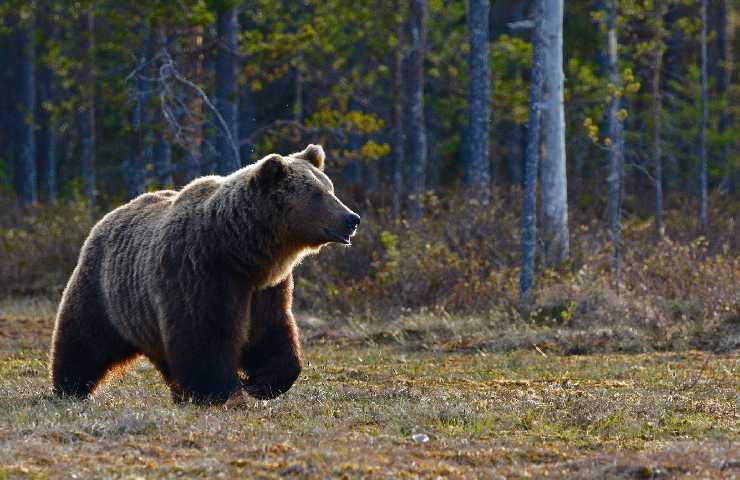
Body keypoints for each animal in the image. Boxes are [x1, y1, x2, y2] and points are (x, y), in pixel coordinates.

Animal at [47, 145, 360, 404]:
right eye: (317, 194)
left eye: (330, 188)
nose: (352, 219)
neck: (240, 253)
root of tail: (109, 216)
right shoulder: (200, 273)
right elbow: (204, 336)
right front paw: (222, 392)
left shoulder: (266, 288)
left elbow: (271, 332)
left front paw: (262, 383)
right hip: (104, 290)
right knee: (84, 338)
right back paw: (69, 387)